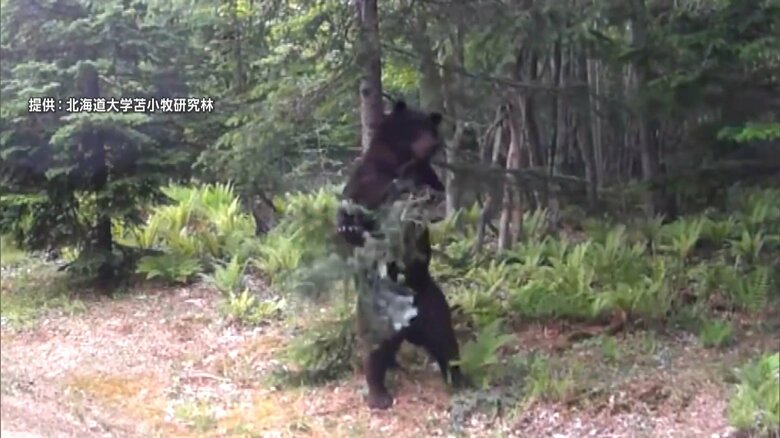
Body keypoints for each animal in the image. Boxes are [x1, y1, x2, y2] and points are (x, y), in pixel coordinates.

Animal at [336, 100, 465, 410]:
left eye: (431, 128)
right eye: (416, 126)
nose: (431, 143)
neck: (400, 162)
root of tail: (407, 326)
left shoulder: (426, 175)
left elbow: (433, 196)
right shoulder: (368, 179)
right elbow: (357, 205)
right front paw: (349, 224)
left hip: (433, 306)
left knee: (447, 343)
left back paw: (458, 378)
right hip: (374, 315)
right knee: (374, 354)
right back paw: (379, 395)